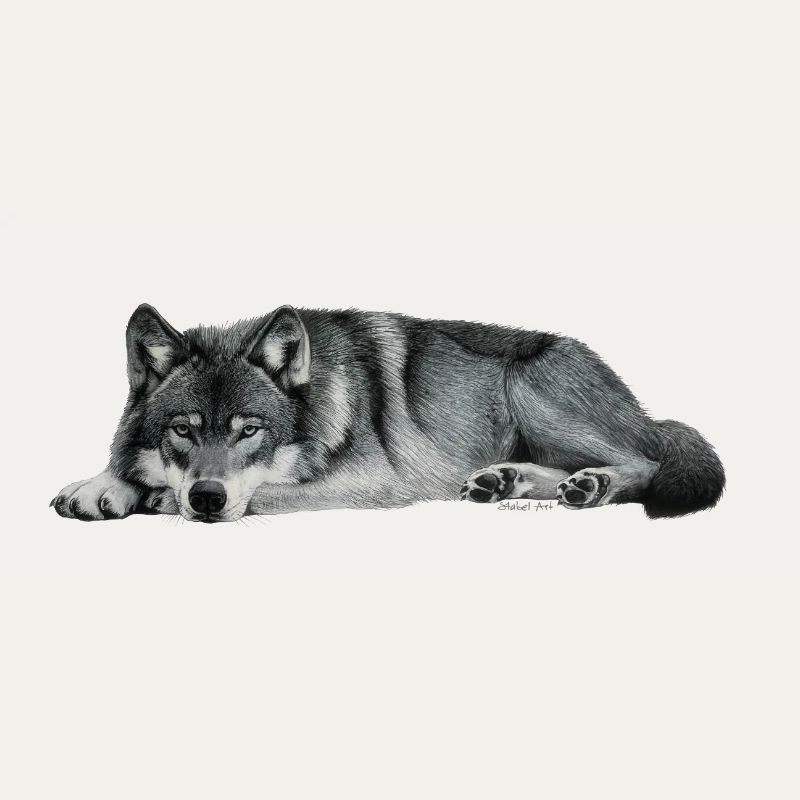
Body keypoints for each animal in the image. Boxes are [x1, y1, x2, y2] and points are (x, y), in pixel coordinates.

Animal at [51, 304, 725, 523]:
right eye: (183, 430)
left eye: (250, 431)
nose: (208, 498)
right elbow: (126, 466)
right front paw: (99, 487)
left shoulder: (374, 484)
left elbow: (262, 492)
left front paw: (154, 497)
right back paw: (503, 481)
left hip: (535, 392)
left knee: (645, 462)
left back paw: (593, 485)